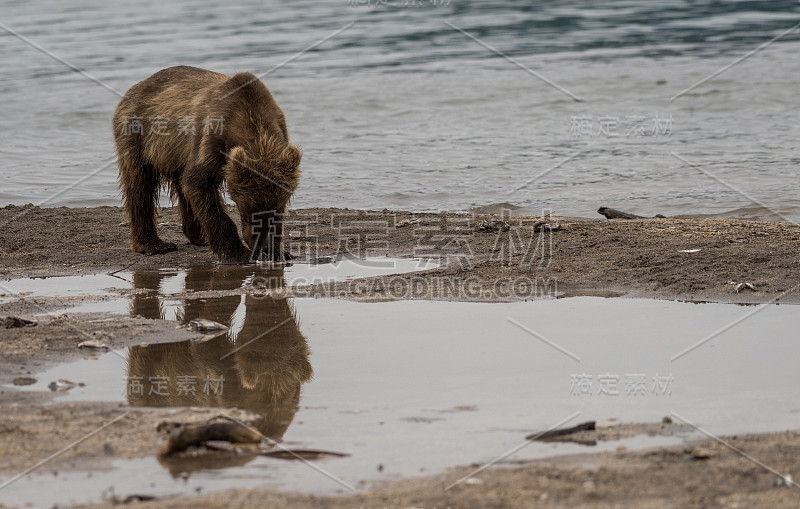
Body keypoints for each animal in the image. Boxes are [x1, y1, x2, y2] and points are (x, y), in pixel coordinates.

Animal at [111, 64, 300, 262]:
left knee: (180, 184)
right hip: (138, 134)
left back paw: (198, 235)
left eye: (278, 207)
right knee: (140, 185)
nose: (258, 244)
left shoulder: (280, 125)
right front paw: (237, 253)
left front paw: (278, 251)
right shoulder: (211, 136)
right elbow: (199, 183)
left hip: (176, 154)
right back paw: (154, 245)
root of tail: (134, 88)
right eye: (248, 207)